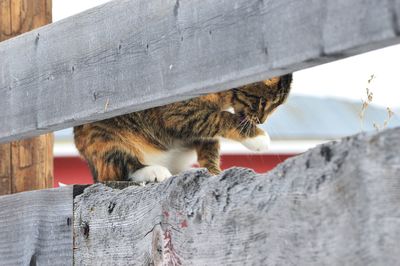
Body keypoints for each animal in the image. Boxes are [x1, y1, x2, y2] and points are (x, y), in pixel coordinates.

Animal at [73, 75, 292, 183]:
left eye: (275, 106)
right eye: (263, 102)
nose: (261, 121)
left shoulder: (199, 128)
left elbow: (209, 145)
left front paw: (213, 171)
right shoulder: (179, 114)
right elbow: (219, 118)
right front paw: (257, 137)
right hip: (105, 136)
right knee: (117, 170)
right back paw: (152, 171)